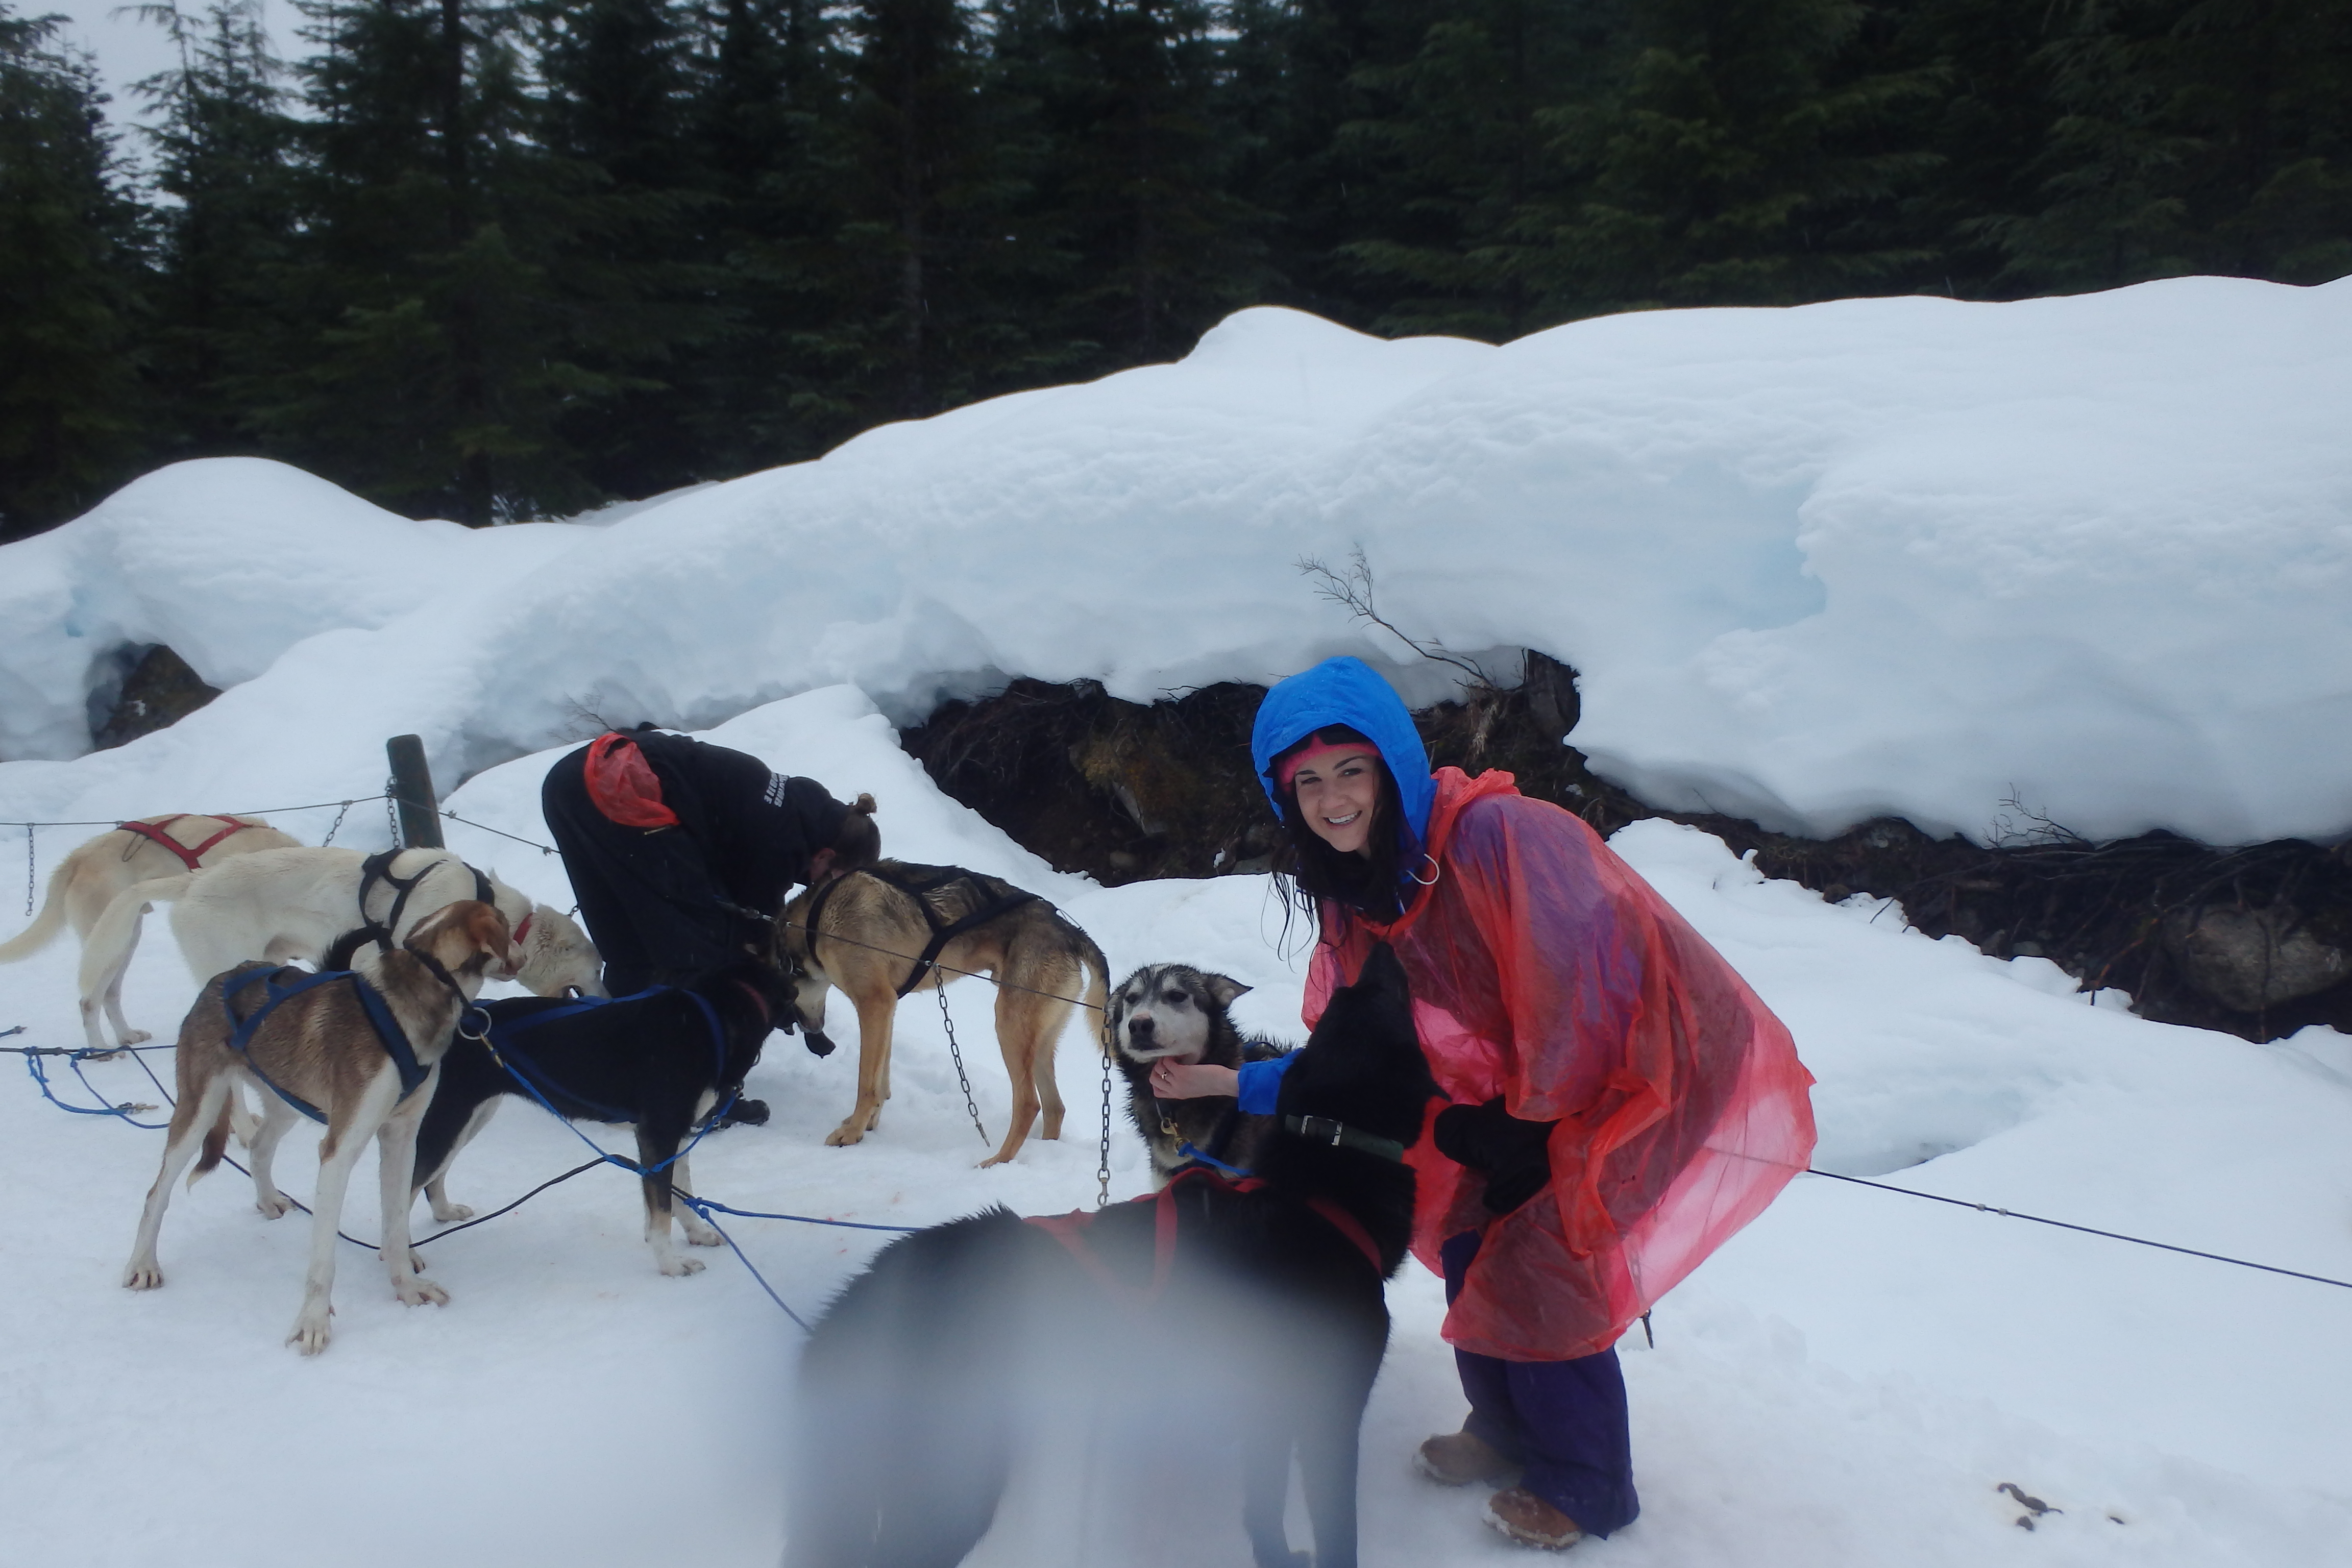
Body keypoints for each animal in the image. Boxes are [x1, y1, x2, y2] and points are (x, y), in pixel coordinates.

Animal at [0, 808, 303, 1053]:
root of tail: (79, 856)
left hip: (127, 941)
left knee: (111, 995)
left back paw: (126, 1036)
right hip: (111, 945)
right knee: (89, 1001)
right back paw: (100, 1049)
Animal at [409, 959, 795, 1279]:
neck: (709, 1020)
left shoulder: (677, 1134)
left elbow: (680, 1193)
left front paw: (697, 1233)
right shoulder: (658, 1135)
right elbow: (661, 1211)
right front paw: (670, 1264)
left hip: (471, 1119)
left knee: (431, 1180)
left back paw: (444, 1213)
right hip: (448, 1121)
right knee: (406, 1191)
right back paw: (405, 1259)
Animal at [771, 870, 1100, 1166]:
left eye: (787, 1001)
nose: (806, 1031)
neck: (818, 917)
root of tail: (1071, 933)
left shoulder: (875, 1002)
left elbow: (867, 1084)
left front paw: (851, 1134)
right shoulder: (887, 1009)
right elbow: (881, 1081)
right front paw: (866, 1125)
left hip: (1009, 1026)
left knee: (1030, 1104)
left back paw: (997, 1162)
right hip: (1038, 1040)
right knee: (1055, 1107)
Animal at [790, 945, 1430, 1568]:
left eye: (1347, 1001)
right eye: (1381, 999)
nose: (1381, 946)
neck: (1321, 1178)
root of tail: (867, 1294)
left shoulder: (1265, 1421)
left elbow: (1263, 1514)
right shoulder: (1329, 1417)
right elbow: (1337, 1534)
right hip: (956, 1485)